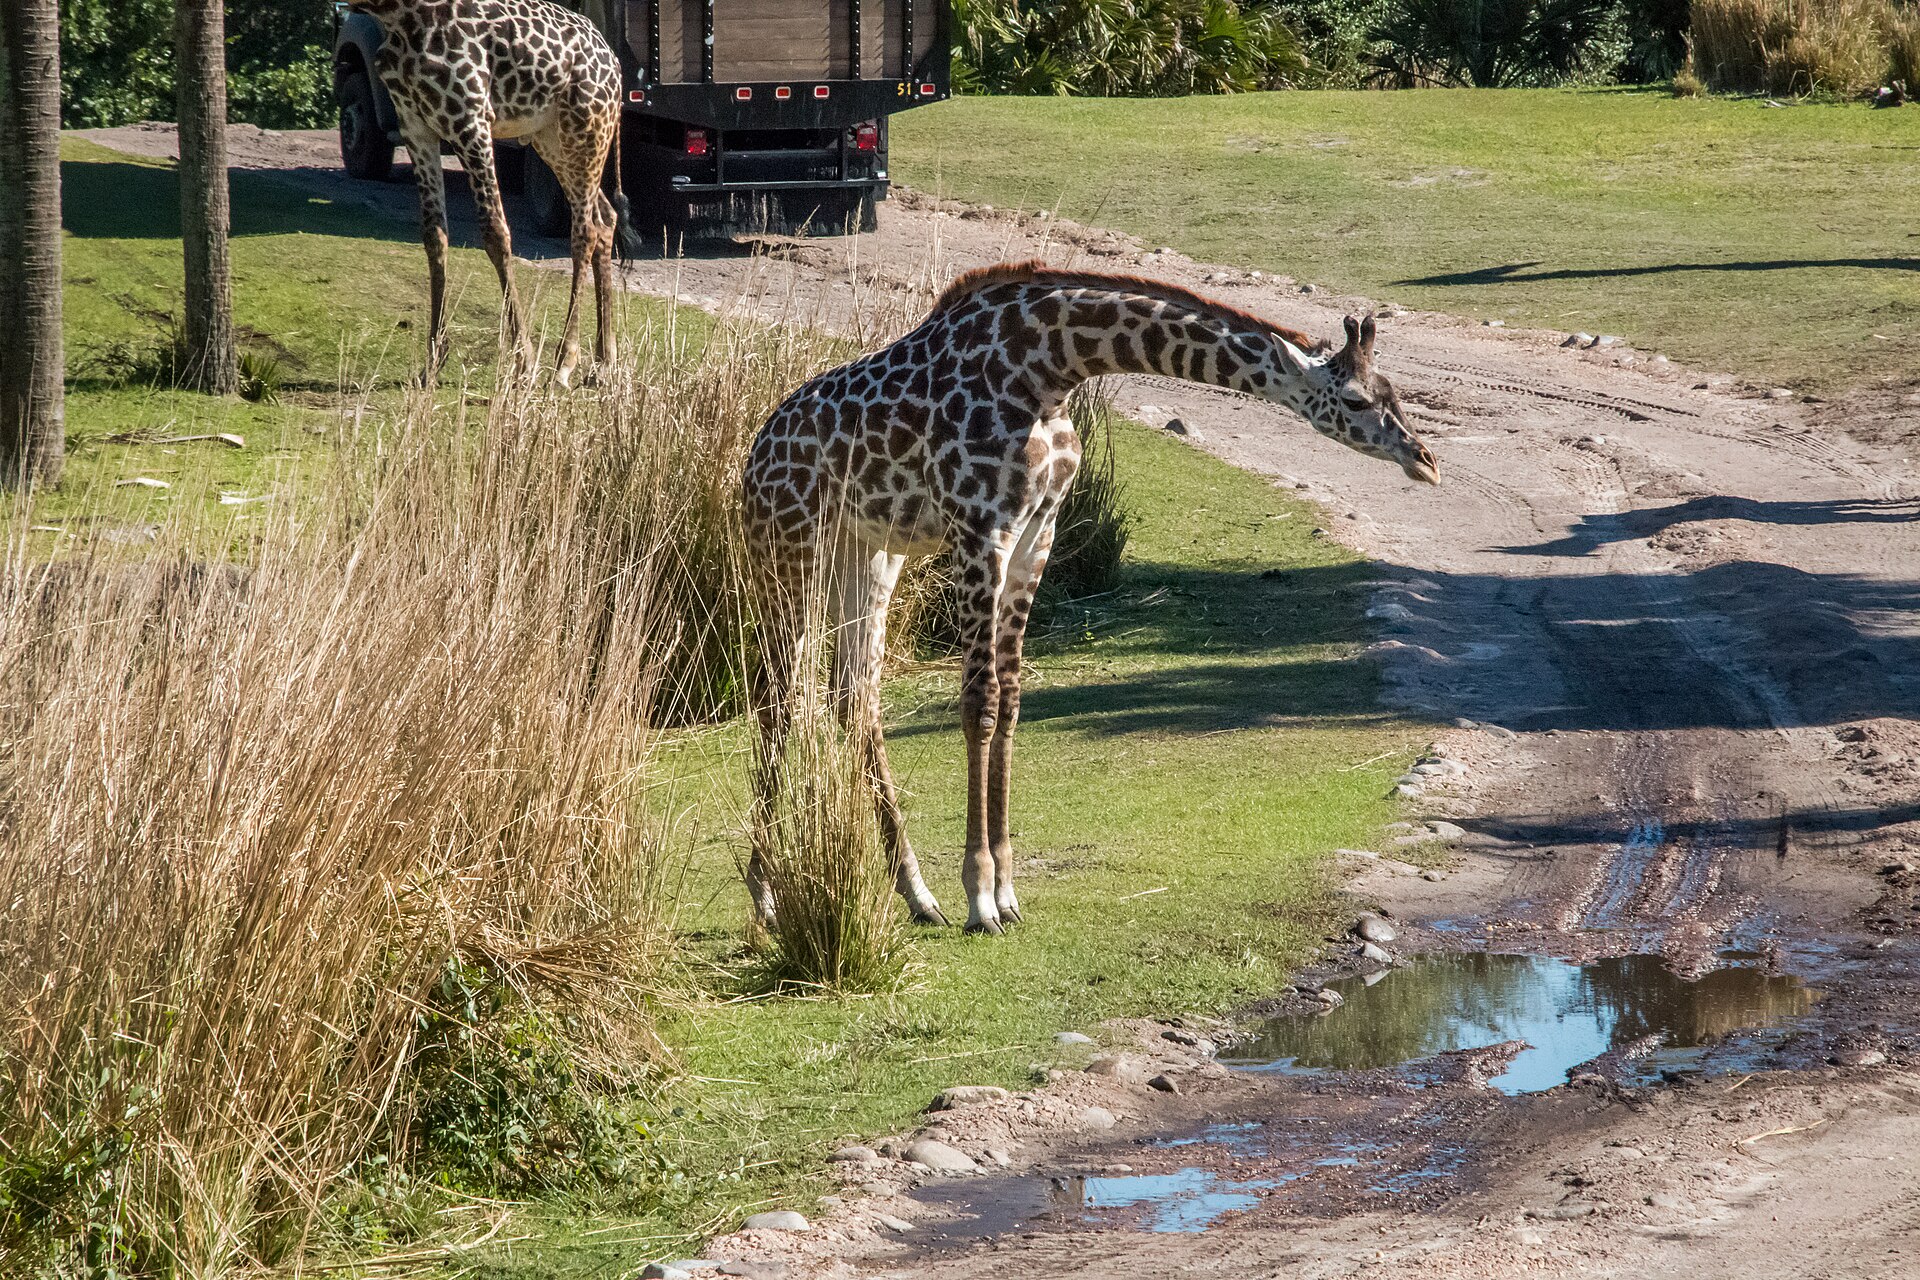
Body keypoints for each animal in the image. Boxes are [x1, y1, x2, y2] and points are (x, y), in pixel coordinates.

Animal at [348, 0, 640, 386]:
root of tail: (615, 63)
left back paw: (565, 362)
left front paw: (524, 363)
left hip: (587, 127)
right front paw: (433, 363)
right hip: (551, 138)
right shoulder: (416, 125)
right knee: (605, 218)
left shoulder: (470, 119)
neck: (395, 14)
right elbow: (433, 235)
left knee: (586, 230)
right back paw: (604, 365)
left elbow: (495, 233)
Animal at [741, 262, 1440, 936]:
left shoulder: (1036, 533)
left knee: (854, 697)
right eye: (1355, 398)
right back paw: (767, 898)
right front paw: (980, 899)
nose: (1426, 461)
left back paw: (916, 896)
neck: (1050, 368)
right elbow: (979, 704)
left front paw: (1006, 892)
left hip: (868, 555)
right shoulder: (979, 530)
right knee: (779, 693)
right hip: (789, 548)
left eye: (1395, 391)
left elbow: (1011, 700)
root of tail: (751, 456)